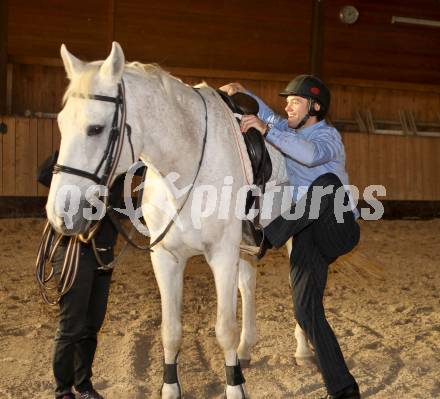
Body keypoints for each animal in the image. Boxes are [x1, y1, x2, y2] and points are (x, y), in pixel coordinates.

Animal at [44, 42, 314, 398]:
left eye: (96, 128)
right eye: (61, 124)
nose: (60, 214)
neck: (184, 166)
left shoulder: (222, 255)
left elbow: (224, 329)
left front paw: (234, 386)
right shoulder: (167, 257)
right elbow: (170, 331)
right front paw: (171, 387)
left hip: (289, 239)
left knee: (296, 286)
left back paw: (303, 350)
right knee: (247, 285)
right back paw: (245, 351)